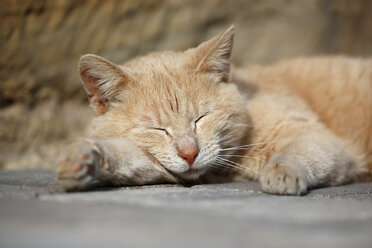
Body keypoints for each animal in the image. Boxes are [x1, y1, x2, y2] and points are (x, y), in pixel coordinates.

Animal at [56, 25, 372, 196]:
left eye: (201, 118)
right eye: (157, 129)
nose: (189, 153)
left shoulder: (316, 137)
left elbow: (295, 153)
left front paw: (281, 172)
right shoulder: (165, 168)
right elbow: (129, 158)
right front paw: (84, 161)